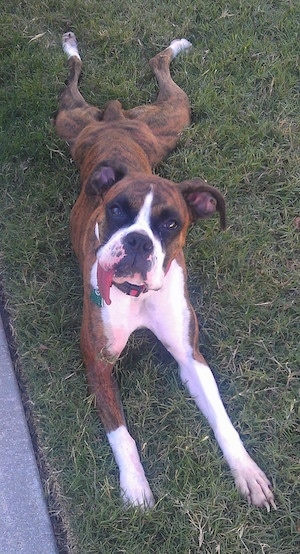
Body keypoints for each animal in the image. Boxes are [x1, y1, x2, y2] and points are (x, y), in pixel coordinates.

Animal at [55, 32, 276, 508]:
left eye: (171, 224)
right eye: (116, 210)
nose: (139, 241)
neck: (137, 295)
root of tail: (115, 119)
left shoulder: (191, 356)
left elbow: (223, 418)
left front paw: (246, 470)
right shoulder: (98, 361)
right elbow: (120, 432)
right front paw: (135, 486)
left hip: (172, 120)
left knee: (158, 68)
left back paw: (175, 47)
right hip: (69, 122)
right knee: (75, 77)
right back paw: (70, 45)